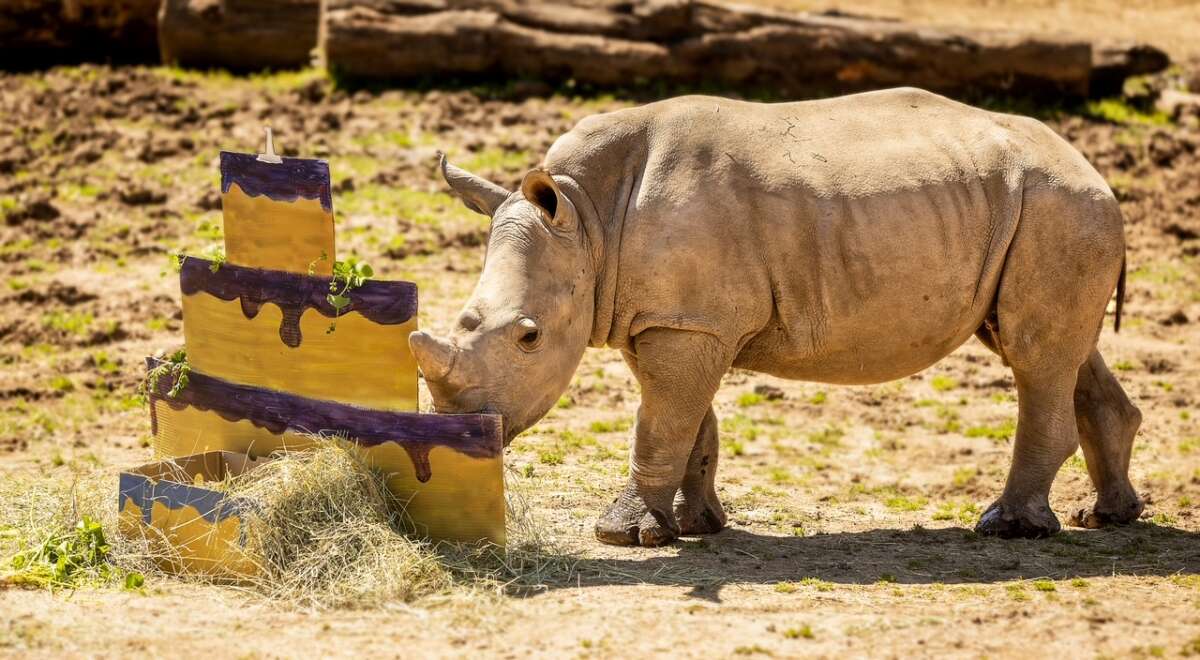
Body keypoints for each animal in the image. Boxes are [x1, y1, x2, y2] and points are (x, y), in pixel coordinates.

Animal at [409, 88, 1142, 546]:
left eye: (529, 337)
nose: (457, 436)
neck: (586, 218)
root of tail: (1096, 172)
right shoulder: (674, 317)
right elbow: (687, 422)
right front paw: (691, 525)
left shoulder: (686, 322)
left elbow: (660, 423)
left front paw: (623, 535)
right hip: (1037, 212)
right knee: (1060, 352)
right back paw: (1108, 517)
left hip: (1059, 207)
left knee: (1033, 355)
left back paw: (1006, 528)